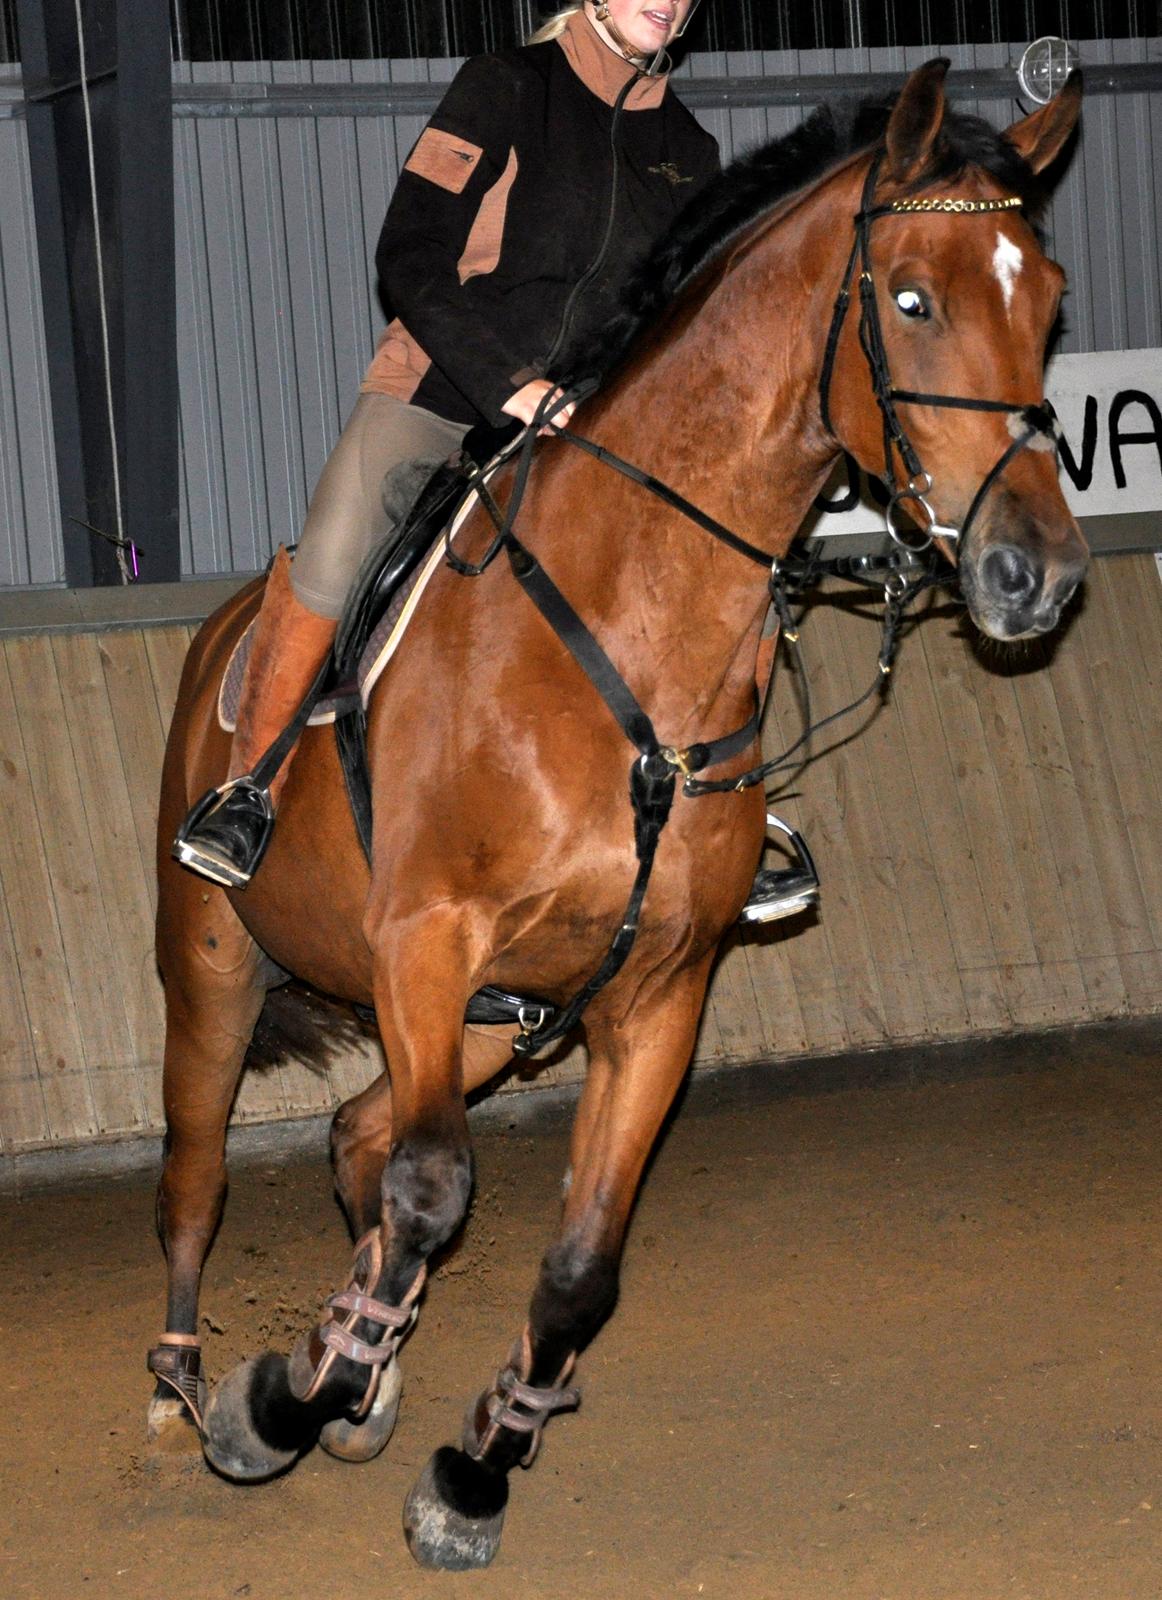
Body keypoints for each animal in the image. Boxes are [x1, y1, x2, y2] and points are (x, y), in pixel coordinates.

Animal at [150, 65, 1088, 1574]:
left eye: (1047, 299)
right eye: (909, 299)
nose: (1034, 575)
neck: (636, 615)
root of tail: (221, 636)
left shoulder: (656, 991)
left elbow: (579, 1261)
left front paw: (471, 1461)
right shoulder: (426, 941)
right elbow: (434, 1190)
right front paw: (283, 1402)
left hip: (498, 1020)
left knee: (357, 1137)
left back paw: (362, 1361)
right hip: (220, 973)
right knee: (200, 1175)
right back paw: (196, 1387)